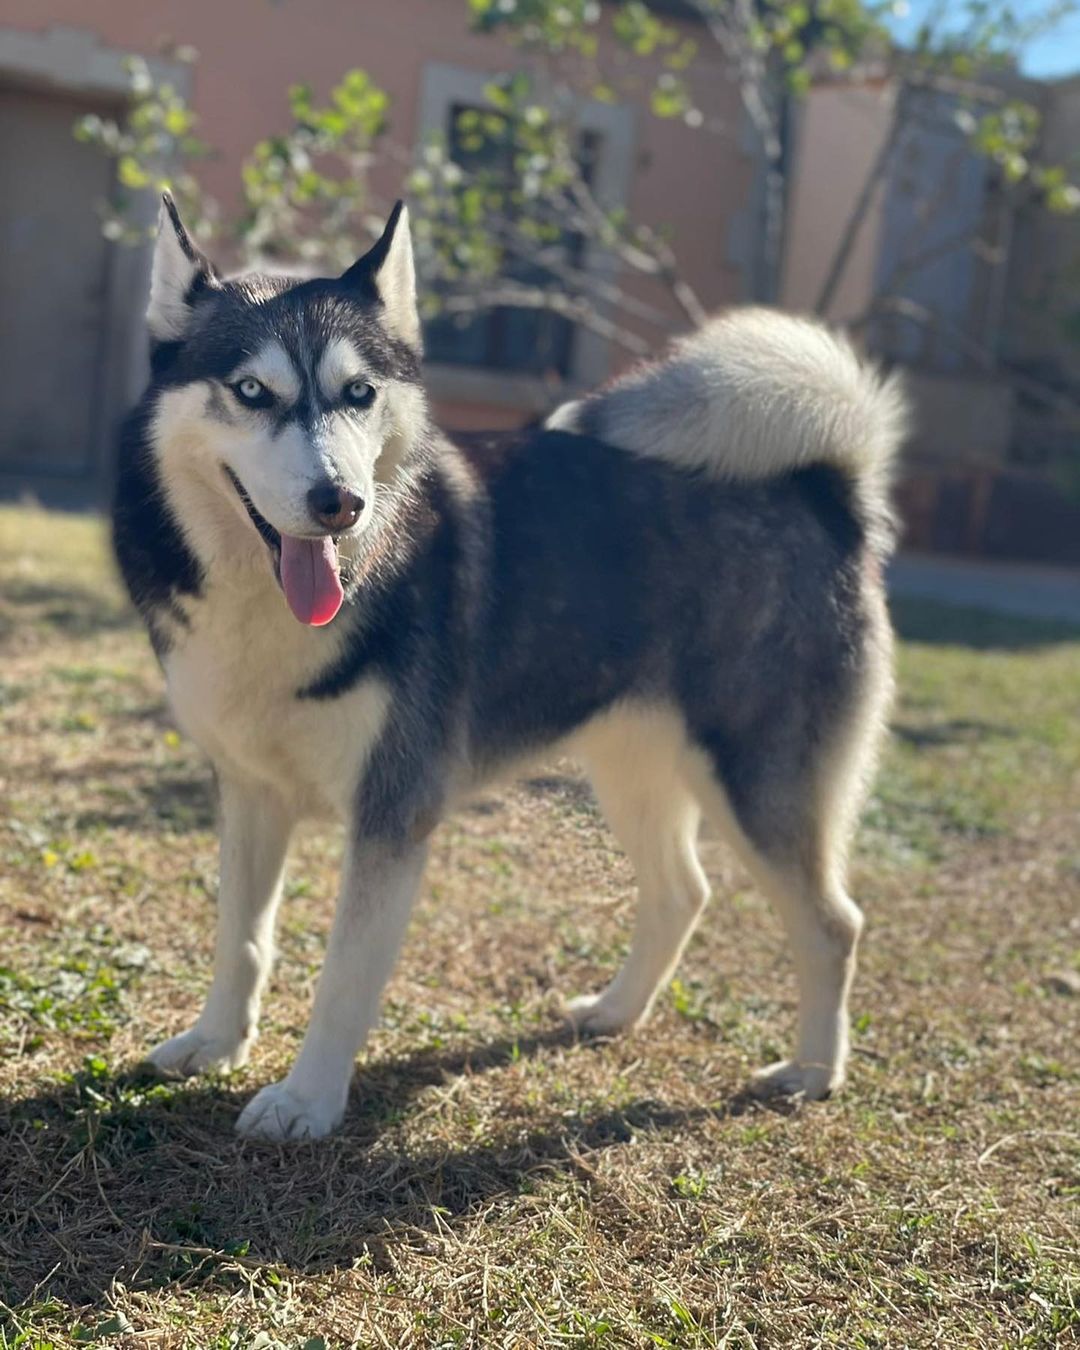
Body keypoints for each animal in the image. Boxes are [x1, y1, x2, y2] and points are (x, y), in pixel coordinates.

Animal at [112, 195, 901, 1134]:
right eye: (250, 391)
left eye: (358, 393)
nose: (340, 503)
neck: (268, 606)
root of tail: (824, 489)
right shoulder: (249, 790)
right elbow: (241, 937)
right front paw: (216, 1043)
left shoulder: (393, 813)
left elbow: (344, 979)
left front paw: (307, 1100)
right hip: (633, 768)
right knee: (683, 891)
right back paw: (614, 1013)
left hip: (758, 786)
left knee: (835, 923)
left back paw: (814, 1069)